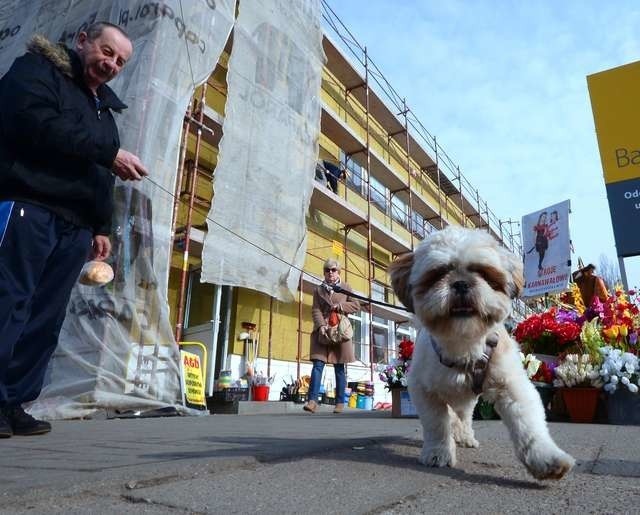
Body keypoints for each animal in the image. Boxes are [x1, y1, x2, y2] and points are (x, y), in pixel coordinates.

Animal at [390, 228, 576, 482]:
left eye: (483, 272)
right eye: (438, 274)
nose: (460, 283)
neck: (465, 345)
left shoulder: (512, 386)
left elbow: (529, 425)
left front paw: (546, 459)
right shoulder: (424, 390)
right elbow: (437, 424)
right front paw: (438, 452)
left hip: (468, 401)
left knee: (464, 417)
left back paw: (466, 437)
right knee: (453, 417)